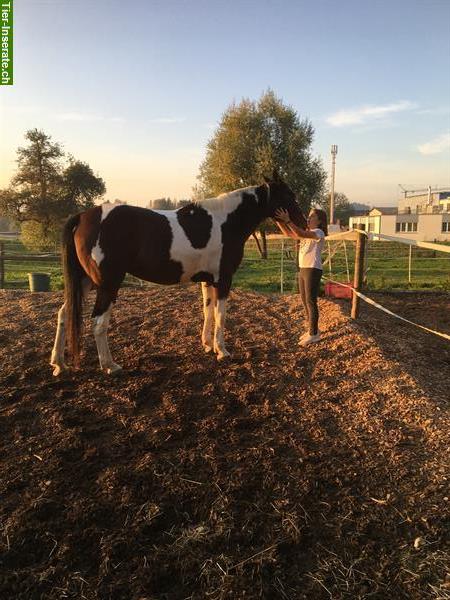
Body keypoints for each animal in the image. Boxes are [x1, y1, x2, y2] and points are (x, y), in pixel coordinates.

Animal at [51, 170, 308, 376]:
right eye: (288, 194)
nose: (303, 221)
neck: (225, 221)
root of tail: (83, 216)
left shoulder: (208, 281)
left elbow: (208, 312)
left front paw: (208, 345)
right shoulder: (223, 280)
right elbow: (221, 315)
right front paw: (222, 351)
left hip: (85, 281)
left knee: (64, 314)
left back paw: (59, 364)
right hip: (108, 284)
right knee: (98, 323)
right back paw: (109, 366)